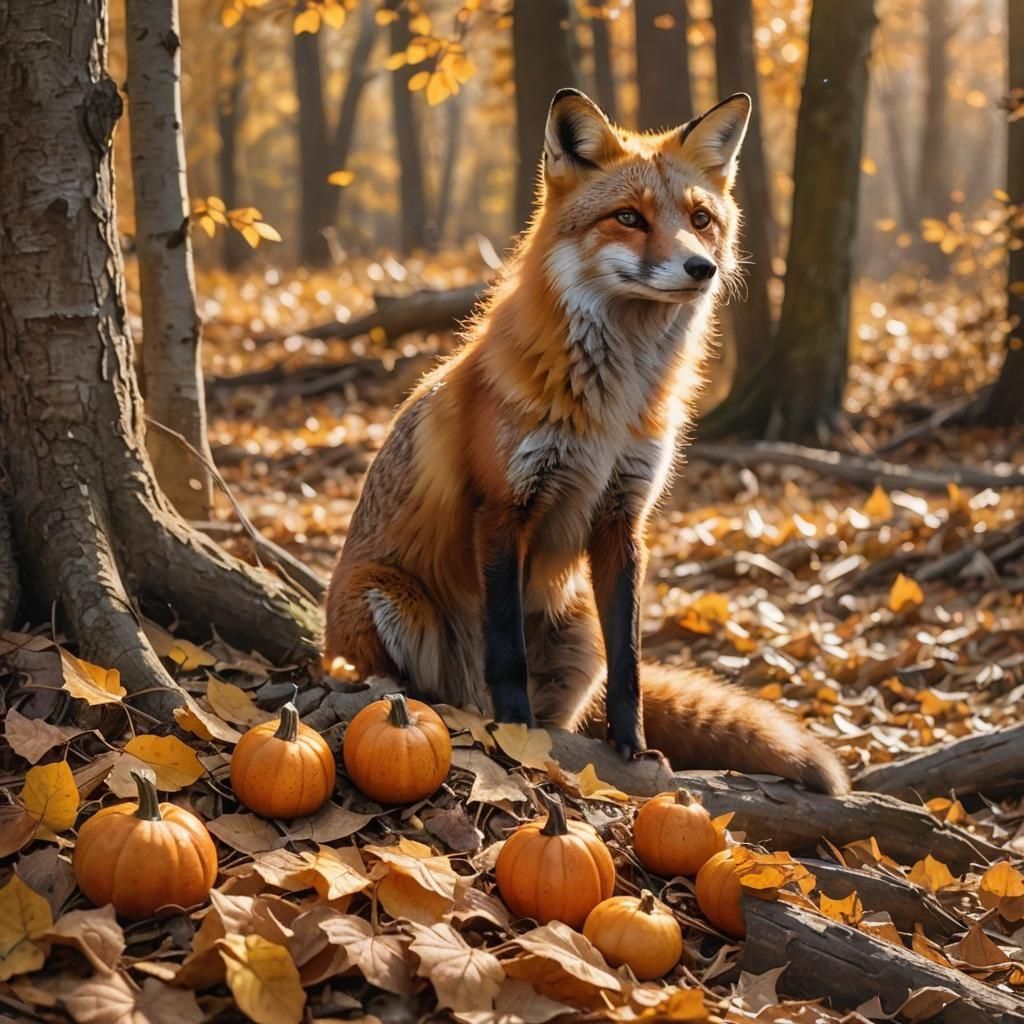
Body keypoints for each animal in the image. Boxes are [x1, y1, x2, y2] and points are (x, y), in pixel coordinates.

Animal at [325, 88, 849, 795]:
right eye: (628, 217)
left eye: (701, 218)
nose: (702, 268)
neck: (609, 408)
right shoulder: (502, 509)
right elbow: (506, 648)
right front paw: (515, 732)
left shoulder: (624, 519)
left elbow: (631, 662)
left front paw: (634, 747)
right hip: (389, 598)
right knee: (422, 682)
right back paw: (425, 703)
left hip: (579, 635)